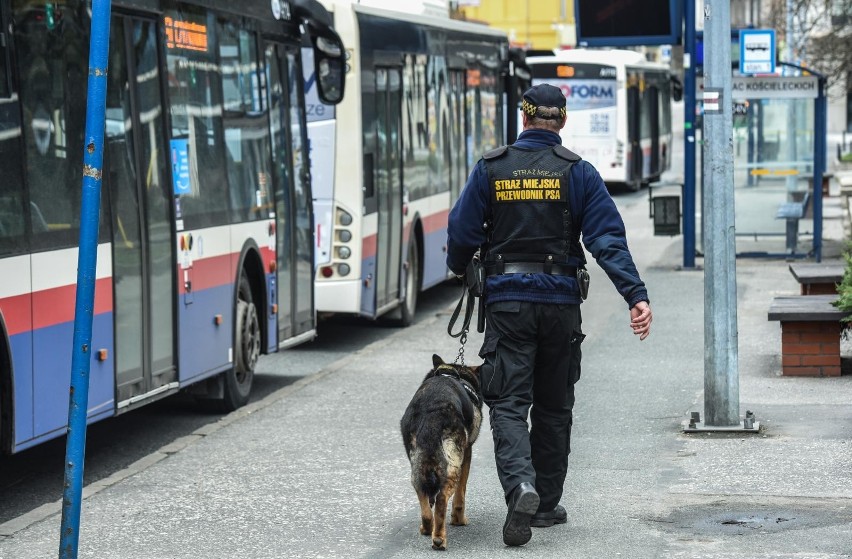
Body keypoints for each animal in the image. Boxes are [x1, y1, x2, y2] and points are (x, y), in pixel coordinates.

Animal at [398, 354, 480, 552]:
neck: (451, 372)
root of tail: (431, 412)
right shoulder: (467, 454)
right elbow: (460, 495)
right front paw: (458, 520)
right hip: (452, 466)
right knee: (442, 498)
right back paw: (439, 539)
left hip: (417, 467)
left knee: (424, 498)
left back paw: (428, 527)